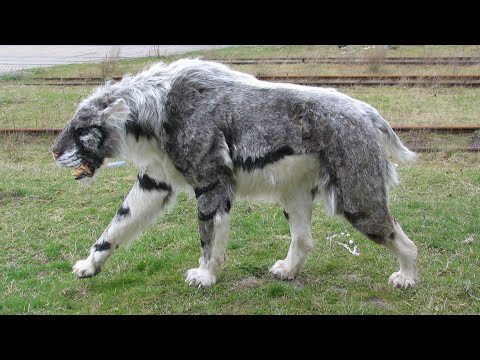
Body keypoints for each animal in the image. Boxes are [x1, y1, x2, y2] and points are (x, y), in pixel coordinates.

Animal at [52, 59, 418, 290]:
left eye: (81, 129)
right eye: (71, 124)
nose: (54, 152)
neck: (156, 106)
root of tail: (370, 113)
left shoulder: (210, 187)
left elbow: (209, 241)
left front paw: (205, 276)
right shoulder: (153, 185)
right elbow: (114, 229)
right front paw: (90, 265)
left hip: (357, 202)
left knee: (407, 242)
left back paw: (407, 277)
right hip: (296, 197)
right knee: (303, 240)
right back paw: (288, 271)